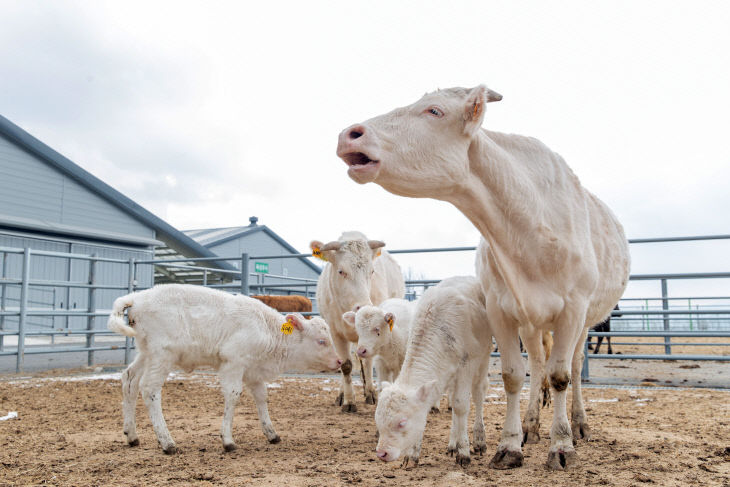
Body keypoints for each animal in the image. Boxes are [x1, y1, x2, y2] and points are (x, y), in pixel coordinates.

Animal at [105, 286, 342, 454]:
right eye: (321, 341)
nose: (340, 361)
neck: (267, 330)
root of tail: (138, 298)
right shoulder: (233, 363)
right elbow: (233, 395)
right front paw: (228, 441)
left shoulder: (253, 371)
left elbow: (262, 397)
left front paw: (271, 433)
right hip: (162, 356)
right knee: (149, 389)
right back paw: (167, 442)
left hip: (146, 354)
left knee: (129, 381)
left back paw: (132, 435)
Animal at [312, 232, 406, 412]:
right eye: (341, 271)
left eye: (372, 271)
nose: (363, 306)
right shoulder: (335, 332)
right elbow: (345, 365)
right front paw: (348, 401)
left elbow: (368, 362)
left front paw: (370, 393)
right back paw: (341, 394)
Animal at [334, 86, 624, 470]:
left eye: (434, 110)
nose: (349, 134)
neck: (531, 226)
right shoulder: (501, 311)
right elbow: (513, 376)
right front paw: (510, 445)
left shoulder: (573, 310)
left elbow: (560, 377)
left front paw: (561, 446)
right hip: (531, 325)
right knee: (538, 366)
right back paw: (531, 425)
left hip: (587, 323)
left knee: (573, 369)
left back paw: (577, 424)